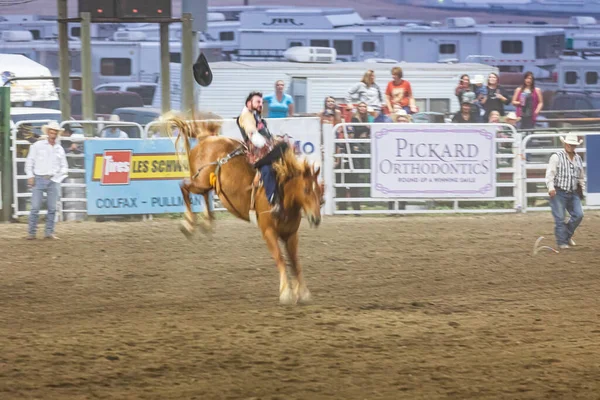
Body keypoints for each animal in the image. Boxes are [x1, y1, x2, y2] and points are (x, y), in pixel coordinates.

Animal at [166, 117, 324, 304]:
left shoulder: (291, 234)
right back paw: (189, 224)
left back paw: (206, 222)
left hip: (206, 183)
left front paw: (303, 292)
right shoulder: (268, 231)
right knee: (184, 186)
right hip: (199, 181)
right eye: (306, 190)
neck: (283, 196)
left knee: (203, 194)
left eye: (319, 191)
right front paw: (286, 293)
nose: (316, 218)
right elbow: (280, 259)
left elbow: (294, 261)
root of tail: (206, 139)